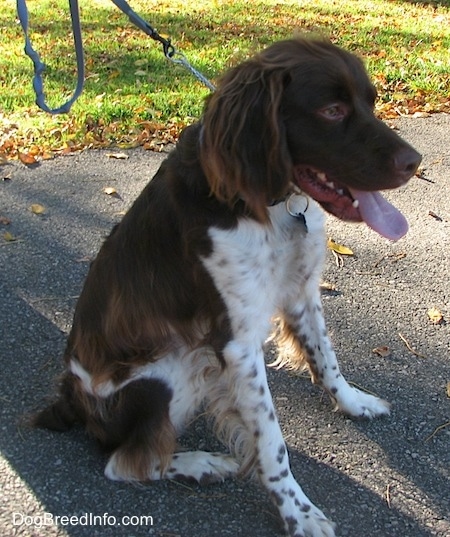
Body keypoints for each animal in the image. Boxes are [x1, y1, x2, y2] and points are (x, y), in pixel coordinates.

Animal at [36, 37, 422, 536]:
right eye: (332, 111)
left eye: (370, 102)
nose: (415, 162)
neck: (268, 205)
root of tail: (72, 401)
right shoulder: (237, 344)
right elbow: (272, 444)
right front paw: (299, 513)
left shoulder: (302, 293)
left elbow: (326, 360)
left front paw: (354, 403)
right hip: (173, 366)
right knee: (127, 462)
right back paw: (200, 463)